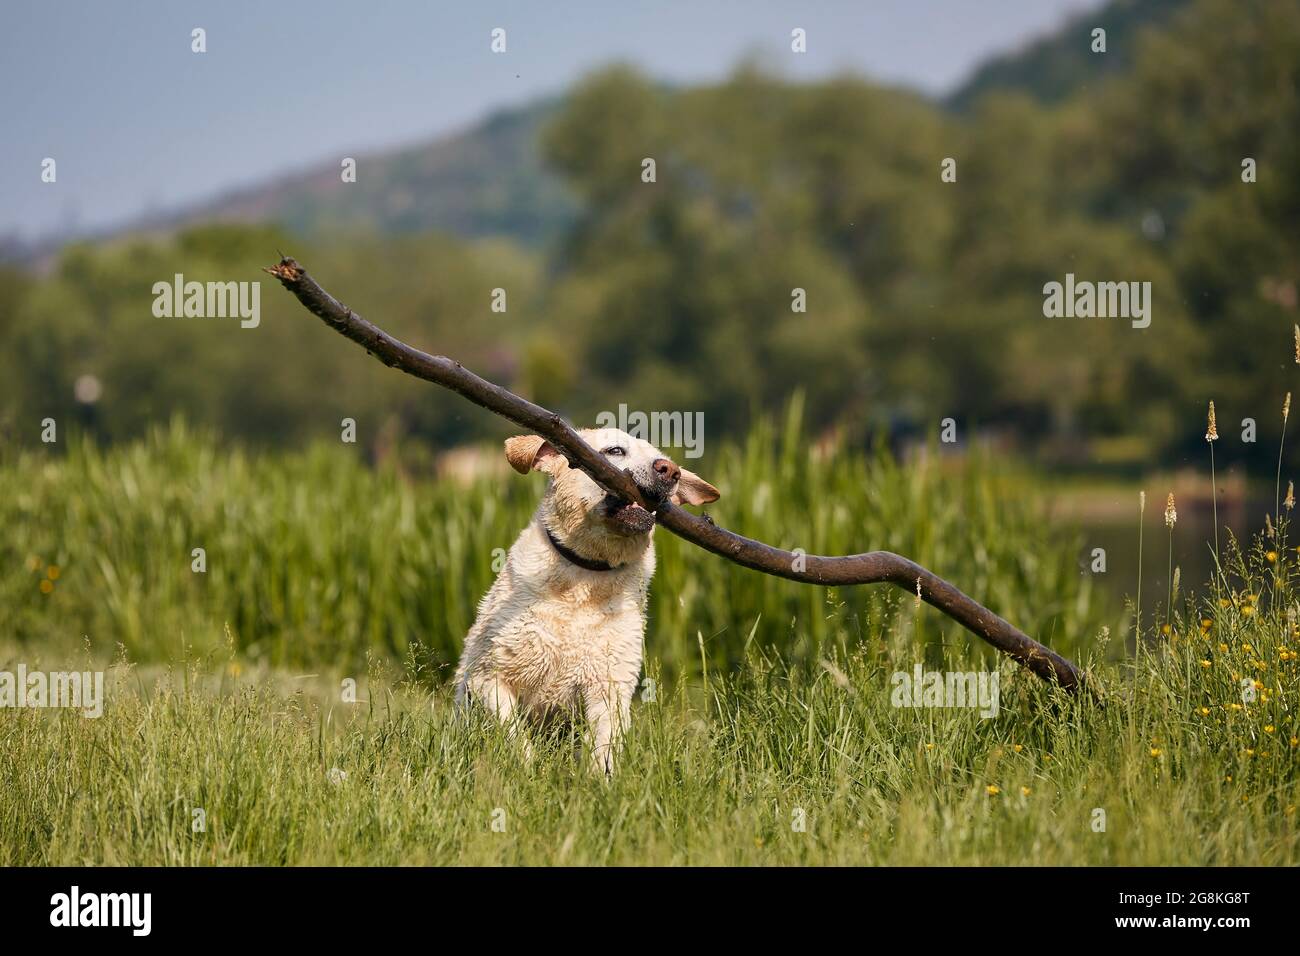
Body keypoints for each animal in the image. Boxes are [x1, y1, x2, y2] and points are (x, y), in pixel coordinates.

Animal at [454, 429, 722, 775]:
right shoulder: (489, 677)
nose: (670, 471)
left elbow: (604, 749)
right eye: (616, 450)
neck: (584, 580)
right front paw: (528, 772)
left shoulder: (609, 687)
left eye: (662, 457)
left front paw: (599, 782)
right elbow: (514, 737)